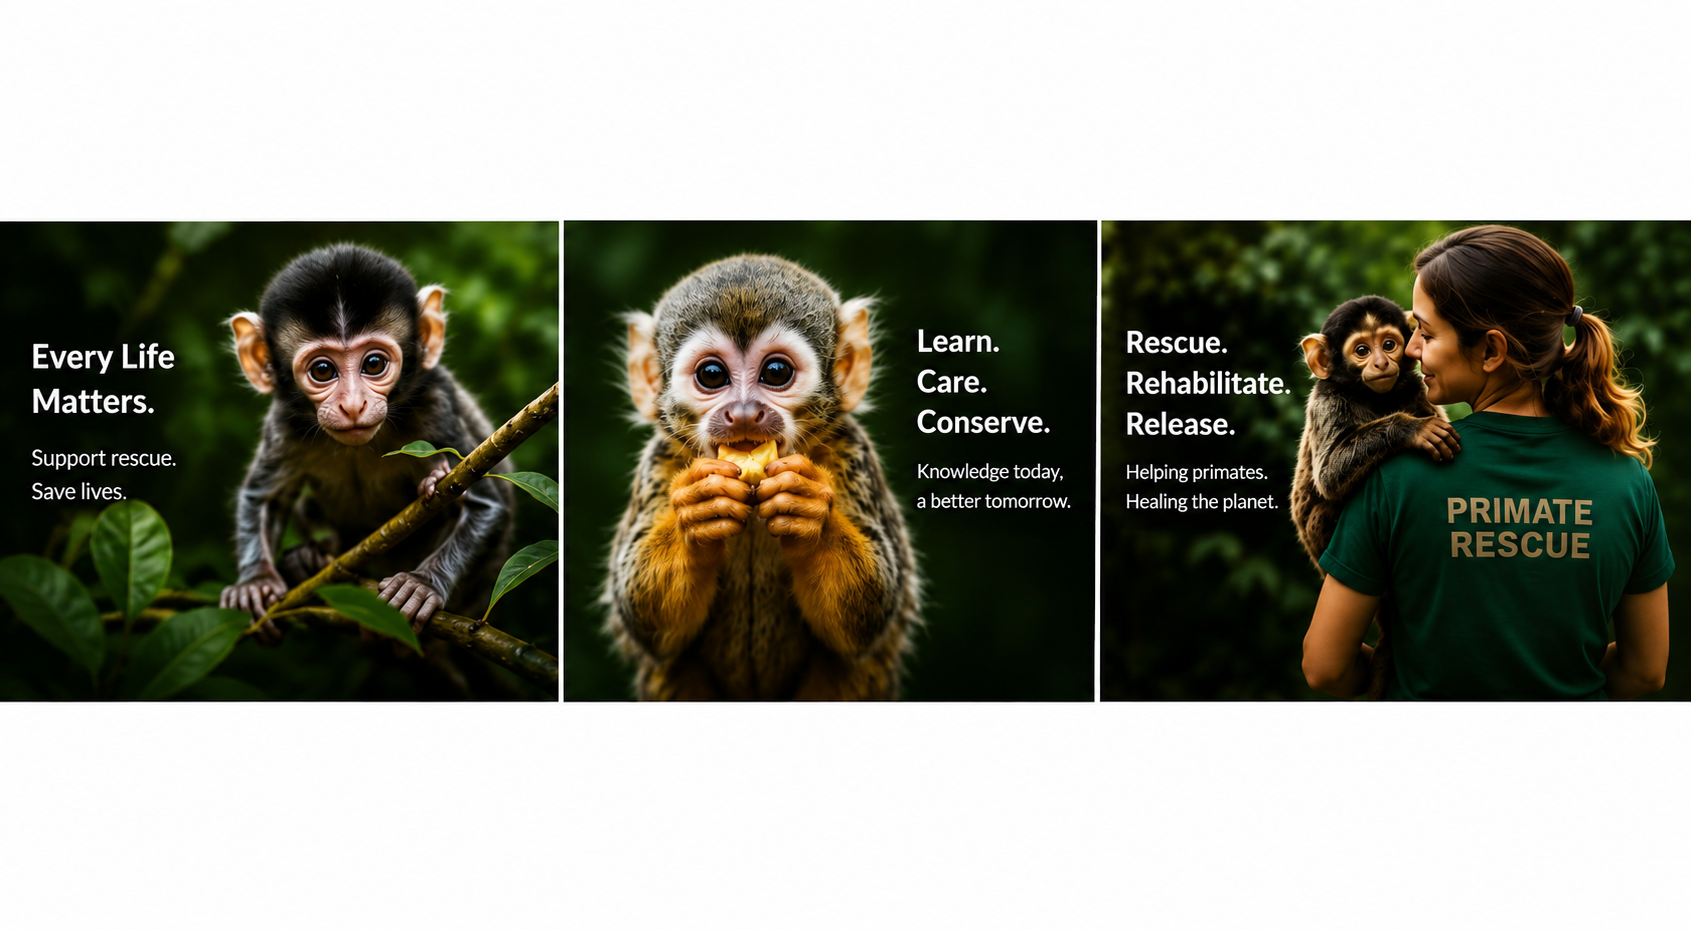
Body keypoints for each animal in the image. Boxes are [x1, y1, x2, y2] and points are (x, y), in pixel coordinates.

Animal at [218, 244, 514, 646]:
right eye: (323, 370)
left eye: (373, 363)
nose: (353, 404)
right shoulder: (284, 424)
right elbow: (263, 498)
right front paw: (255, 583)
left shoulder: (437, 407)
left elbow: (487, 505)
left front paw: (421, 583)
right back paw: (310, 559)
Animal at [603, 254, 919, 701]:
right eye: (712, 375)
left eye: (776, 371)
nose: (744, 414)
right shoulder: (661, 460)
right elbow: (643, 611)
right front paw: (697, 513)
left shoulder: (851, 449)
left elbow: (870, 609)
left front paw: (811, 516)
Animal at [1291, 295, 1459, 698]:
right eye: (1362, 351)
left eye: (1389, 344)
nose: (1382, 362)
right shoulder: (1327, 400)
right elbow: (1330, 474)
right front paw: (1411, 430)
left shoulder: (1415, 388)